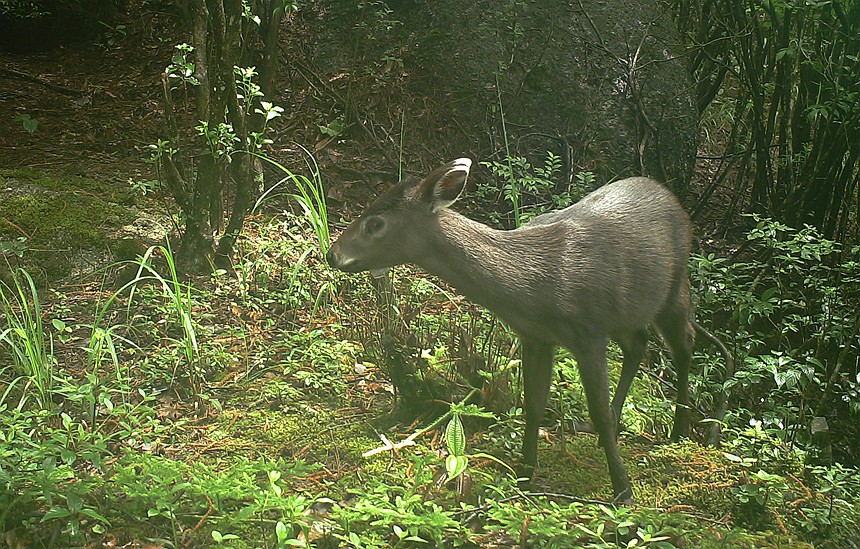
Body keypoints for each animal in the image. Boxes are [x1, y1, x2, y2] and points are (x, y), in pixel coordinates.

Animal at [326, 158, 696, 500]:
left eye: (376, 223)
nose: (333, 253)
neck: (536, 288)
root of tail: (666, 193)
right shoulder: (535, 336)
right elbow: (533, 404)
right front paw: (524, 477)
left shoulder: (588, 332)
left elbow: (597, 410)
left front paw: (622, 489)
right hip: (627, 311)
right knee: (639, 343)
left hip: (675, 284)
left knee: (684, 344)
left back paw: (680, 431)